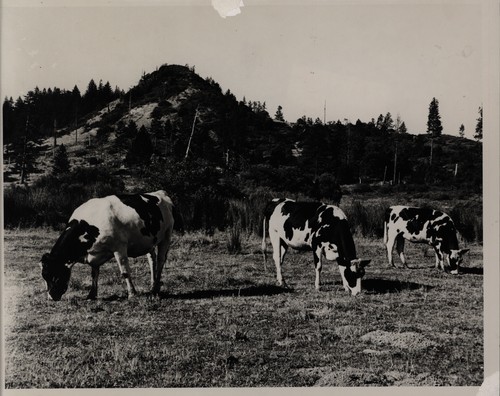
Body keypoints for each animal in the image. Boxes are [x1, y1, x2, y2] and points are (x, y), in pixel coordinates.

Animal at [41, 189, 180, 300]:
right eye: (44, 277)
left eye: (54, 276)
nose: (51, 297)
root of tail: (160, 193)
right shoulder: (94, 255)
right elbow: (94, 273)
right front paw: (92, 294)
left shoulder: (120, 247)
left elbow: (125, 272)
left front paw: (132, 294)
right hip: (149, 241)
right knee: (152, 260)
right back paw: (152, 286)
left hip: (167, 235)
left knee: (161, 260)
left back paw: (155, 289)